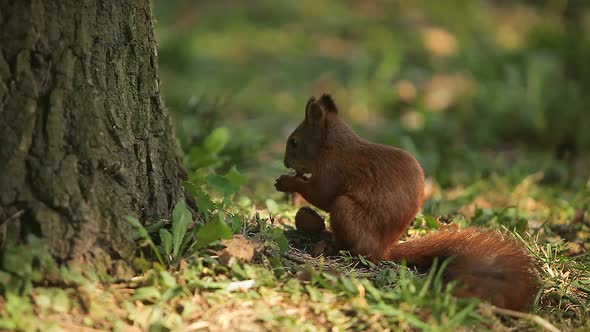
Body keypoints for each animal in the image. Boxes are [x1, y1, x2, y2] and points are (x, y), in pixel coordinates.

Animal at [276, 94, 540, 312]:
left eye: (294, 142)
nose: (286, 162)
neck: (331, 145)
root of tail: (384, 249)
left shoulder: (332, 170)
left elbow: (321, 194)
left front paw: (289, 183)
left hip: (346, 211)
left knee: (354, 248)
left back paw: (329, 245)